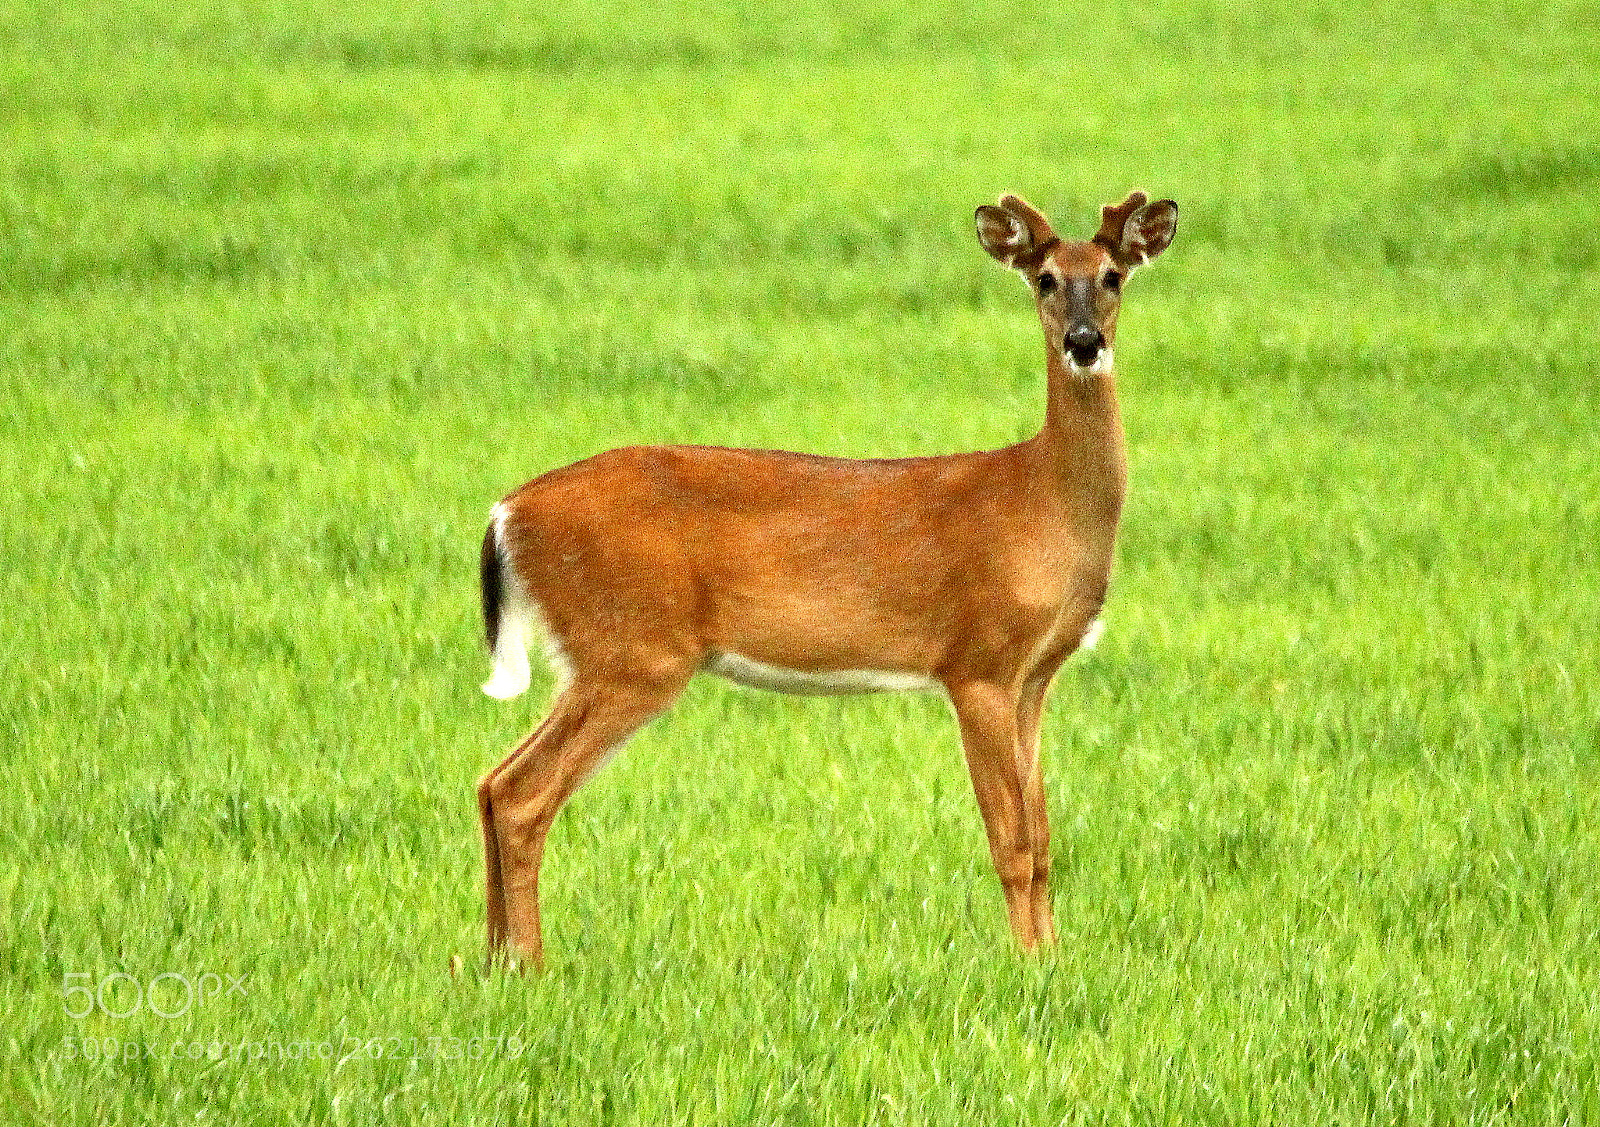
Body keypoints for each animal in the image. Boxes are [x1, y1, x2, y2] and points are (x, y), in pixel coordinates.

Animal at [470, 188, 1177, 966]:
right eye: (1045, 279)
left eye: (1113, 276)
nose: (1084, 342)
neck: (1041, 501)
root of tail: (507, 513)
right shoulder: (978, 661)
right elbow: (1012, 839)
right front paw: (1026, 963)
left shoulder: (1034, 678)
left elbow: (1045, 835)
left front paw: (1053, 957)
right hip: (632, 649)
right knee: (521, 795)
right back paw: (531, 966)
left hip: (602, 656)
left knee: (491, 782)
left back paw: (493, 962)